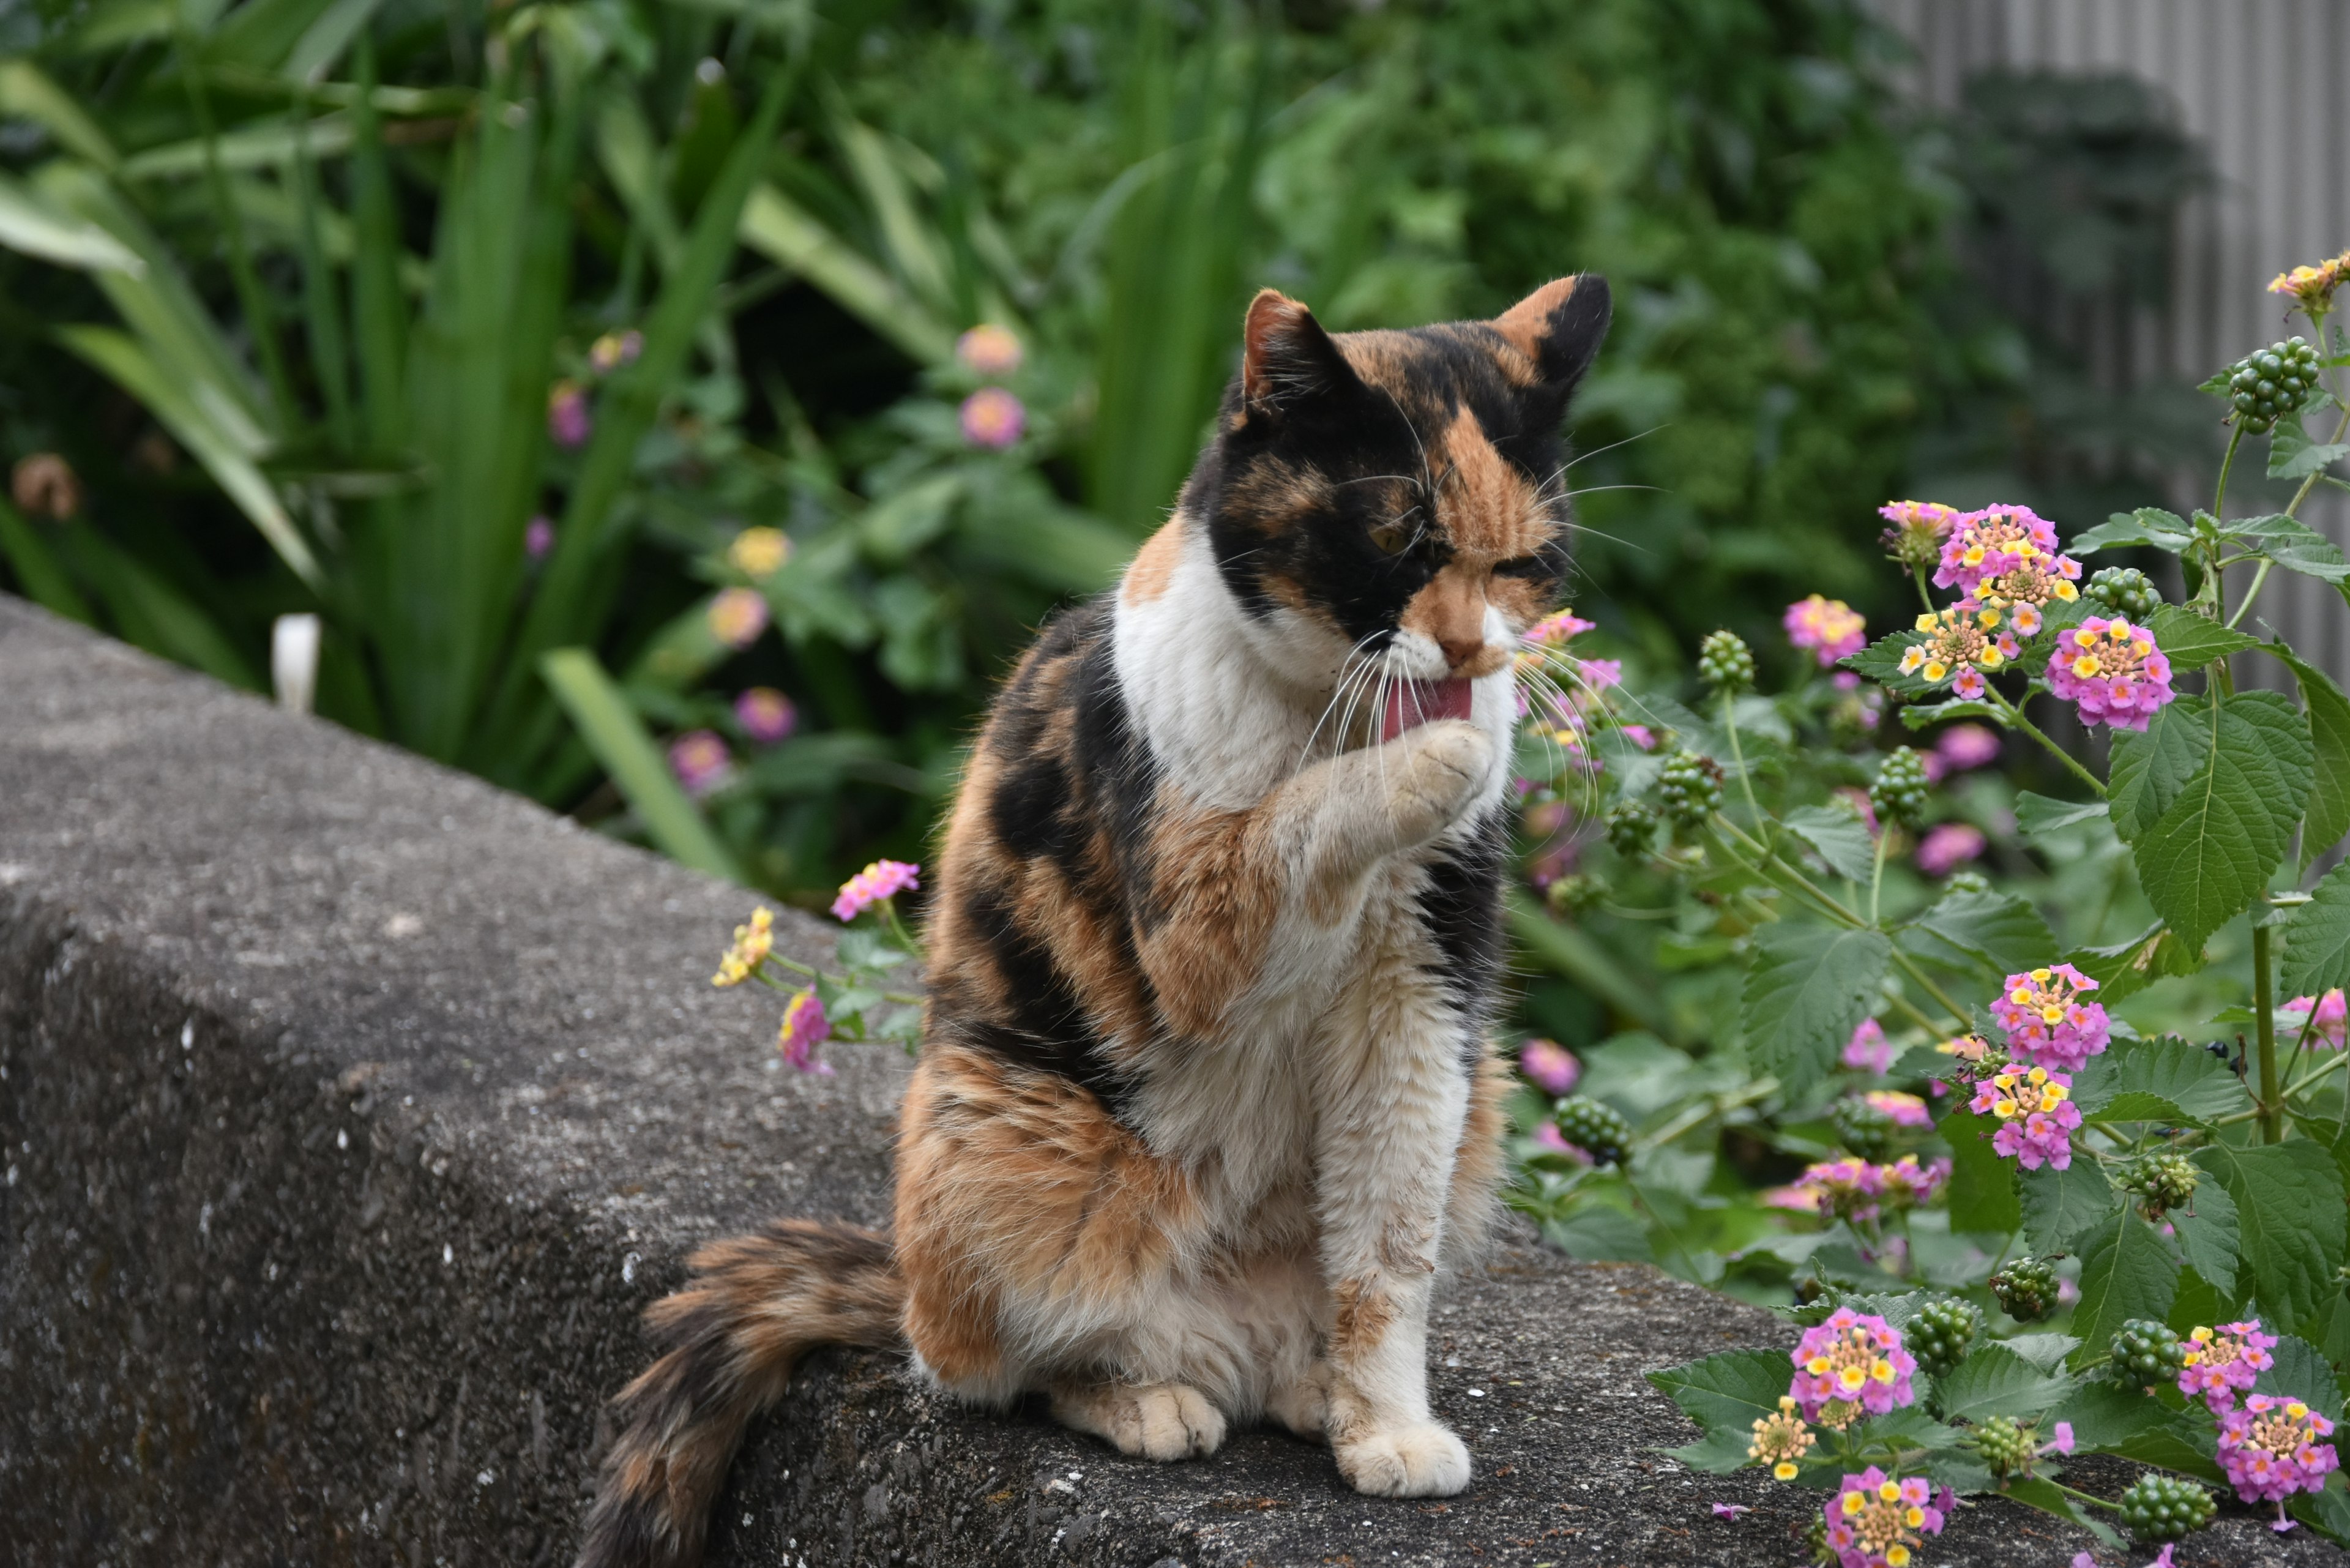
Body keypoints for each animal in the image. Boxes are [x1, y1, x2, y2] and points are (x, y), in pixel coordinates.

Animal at [573, 276, 1598, 1561]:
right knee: (999, 1368)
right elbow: (1297, 819)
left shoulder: (1422, 999)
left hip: (1481, 1107)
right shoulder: (1197, 926)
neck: (1339, 708)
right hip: (1009, 1135)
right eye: (1395, 538)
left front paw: (1389, 1432)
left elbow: (1388, 1257)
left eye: (1525, 559)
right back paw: (1145, 1399)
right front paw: (1446, 754)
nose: (1471, 651)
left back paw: (1314, 1389)